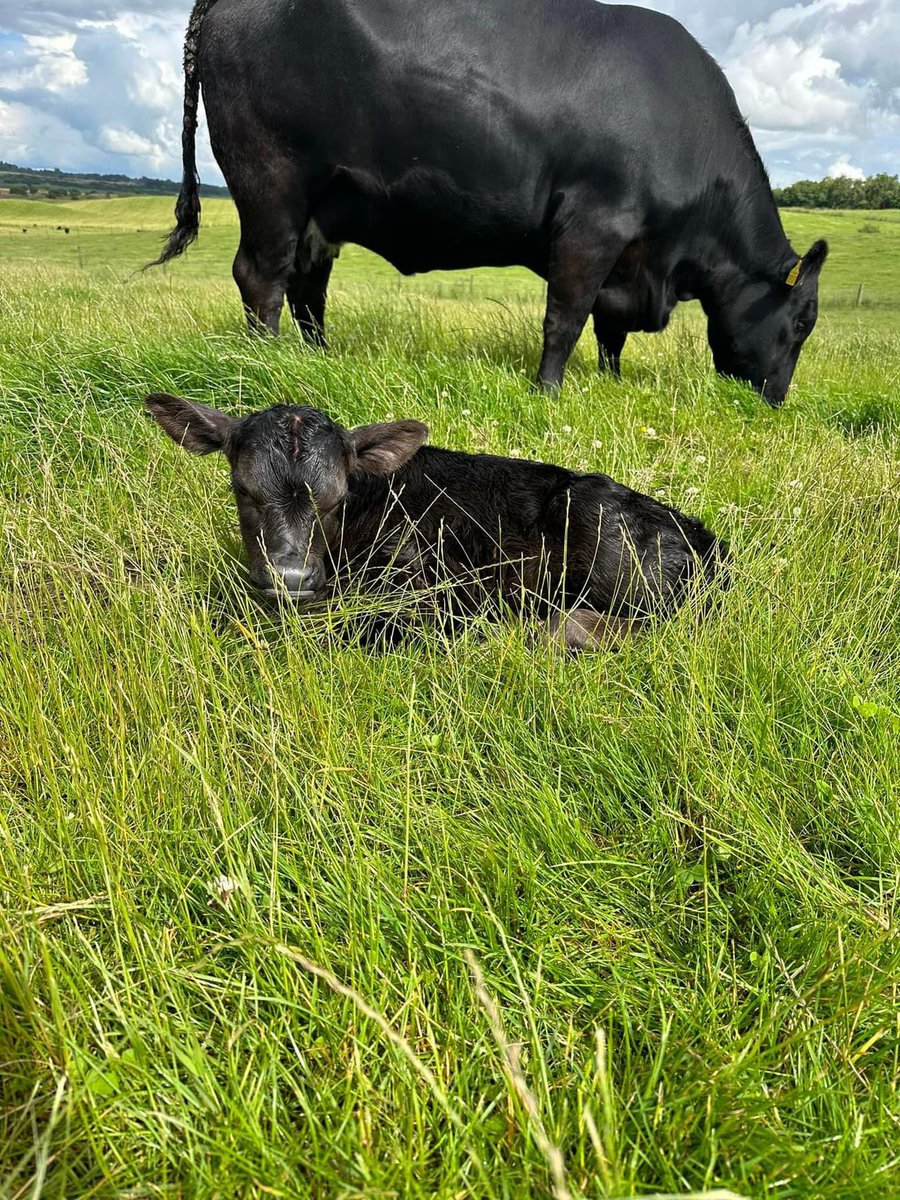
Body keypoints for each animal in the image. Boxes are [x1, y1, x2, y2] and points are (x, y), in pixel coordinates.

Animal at [151, 0, 826, 405]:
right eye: (802, 322)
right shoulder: (596, 222)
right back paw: (265, 365)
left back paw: (316, 361)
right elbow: (567, 316)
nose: (775, 400)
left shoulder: (630, 256)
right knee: (261, 276)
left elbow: (609, 330)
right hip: (271, 181)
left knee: (306, 284)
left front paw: (609, 383)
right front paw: (548, 393)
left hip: (323, 203)